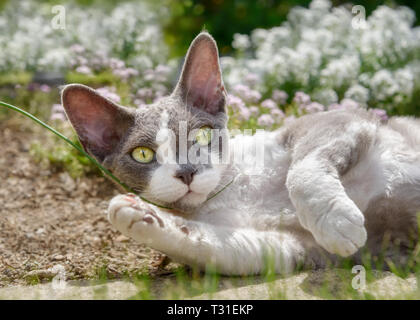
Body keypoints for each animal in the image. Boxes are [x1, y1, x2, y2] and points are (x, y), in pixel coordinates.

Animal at [61, 31, 420, 276]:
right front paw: (139, 214)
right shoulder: (288, 245)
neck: (233, 191)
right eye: (143, 155)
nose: (187, 171)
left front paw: (337, 222)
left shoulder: (339, 120)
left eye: (202, 135)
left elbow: (301, 170)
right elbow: (216, 246)